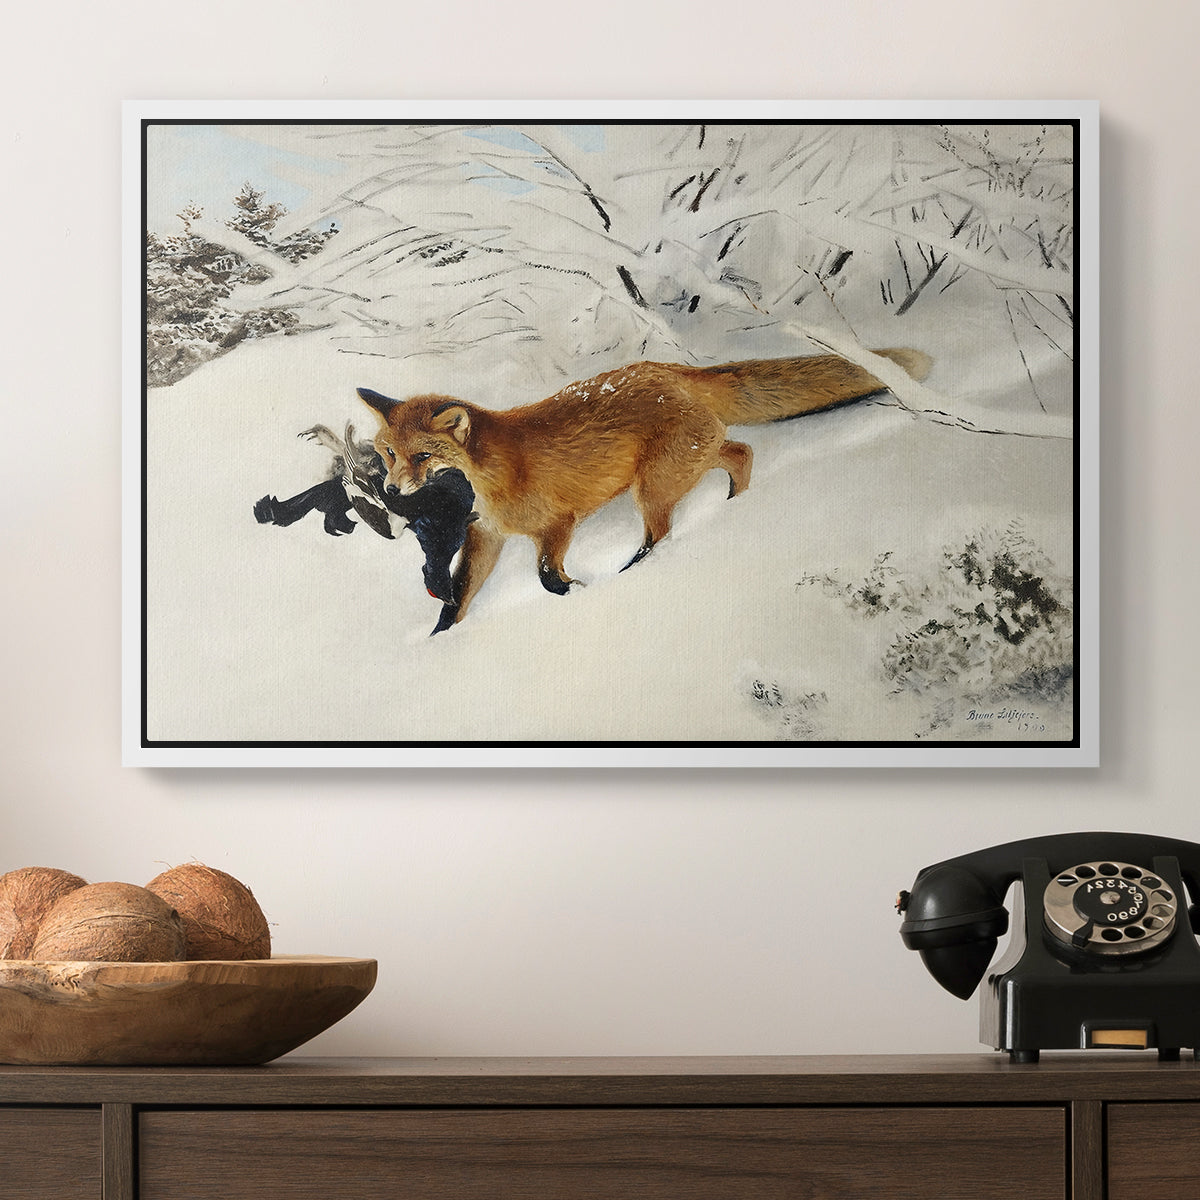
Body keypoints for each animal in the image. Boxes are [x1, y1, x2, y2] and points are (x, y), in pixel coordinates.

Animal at [358, 347, 932, 633]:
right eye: (388, 453)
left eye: (422, 457)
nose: (391, 488)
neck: (491, 476)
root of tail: (670, 369)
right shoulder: (487, 537)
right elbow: (458, 598)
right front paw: (440, 641)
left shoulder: (557, 524)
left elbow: (546, 577)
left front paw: (578, 591)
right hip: (686, 463)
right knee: (741, 452)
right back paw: (735, 505)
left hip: (653, 487)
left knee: (663, 533)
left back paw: (637, 569)